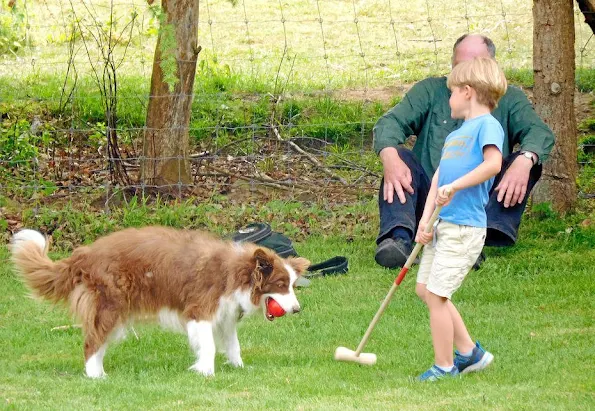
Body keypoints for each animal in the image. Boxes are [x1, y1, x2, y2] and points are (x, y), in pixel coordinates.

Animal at [10, 229, 312, 380]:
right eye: (281, 284)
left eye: (292, 285)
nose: (297, 310)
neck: (238, 272)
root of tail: (84, 254)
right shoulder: (200, 311)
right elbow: (209, 346)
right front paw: (206, 372)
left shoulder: (224, 315)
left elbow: (232, 345)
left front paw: (238, 368)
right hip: (111, 306)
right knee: (91, 342)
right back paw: (96, 376)